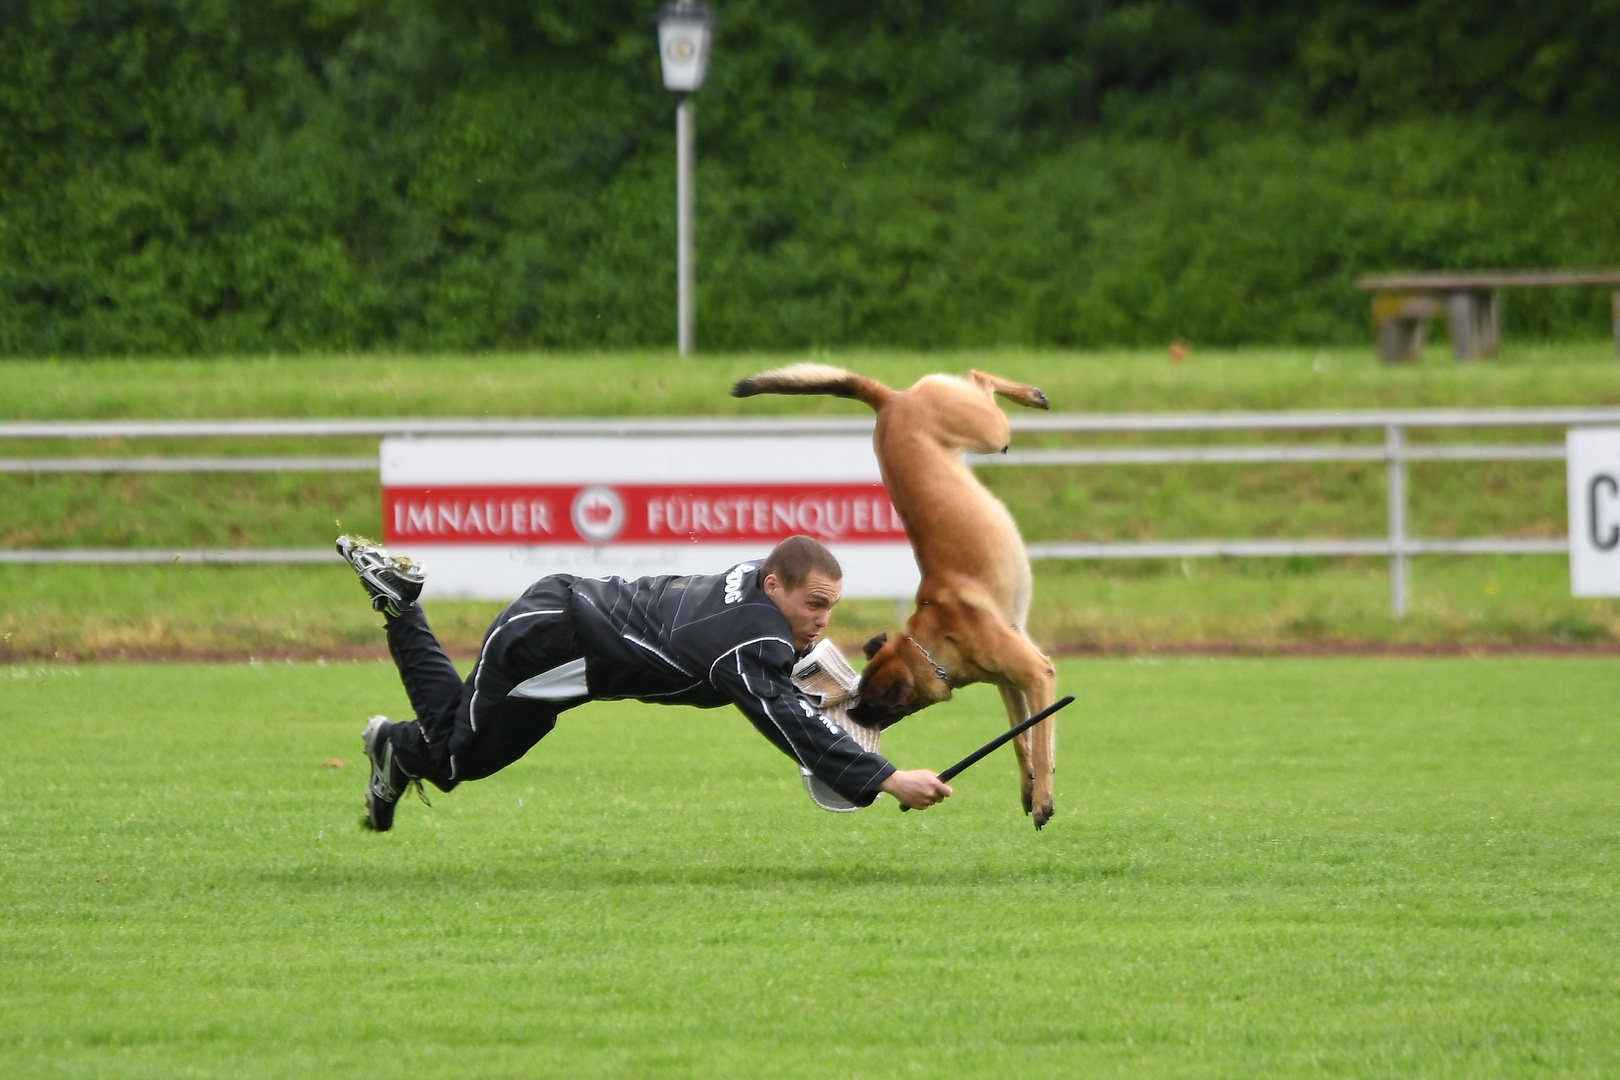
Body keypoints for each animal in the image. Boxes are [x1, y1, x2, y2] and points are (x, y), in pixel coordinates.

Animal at [735, 362, 1062, 829]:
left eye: (876, 703)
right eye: (859, 694)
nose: (853, 716)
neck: (934, 640)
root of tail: (890, 402)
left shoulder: (1037, 674)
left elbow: (1039, 738)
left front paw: (1043, 797)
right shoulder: (1014, 683)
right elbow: (1024, 739)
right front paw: (1030, 785)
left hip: (989, 431)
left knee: (978, 377)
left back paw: (1033, 394)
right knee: (975, 377)